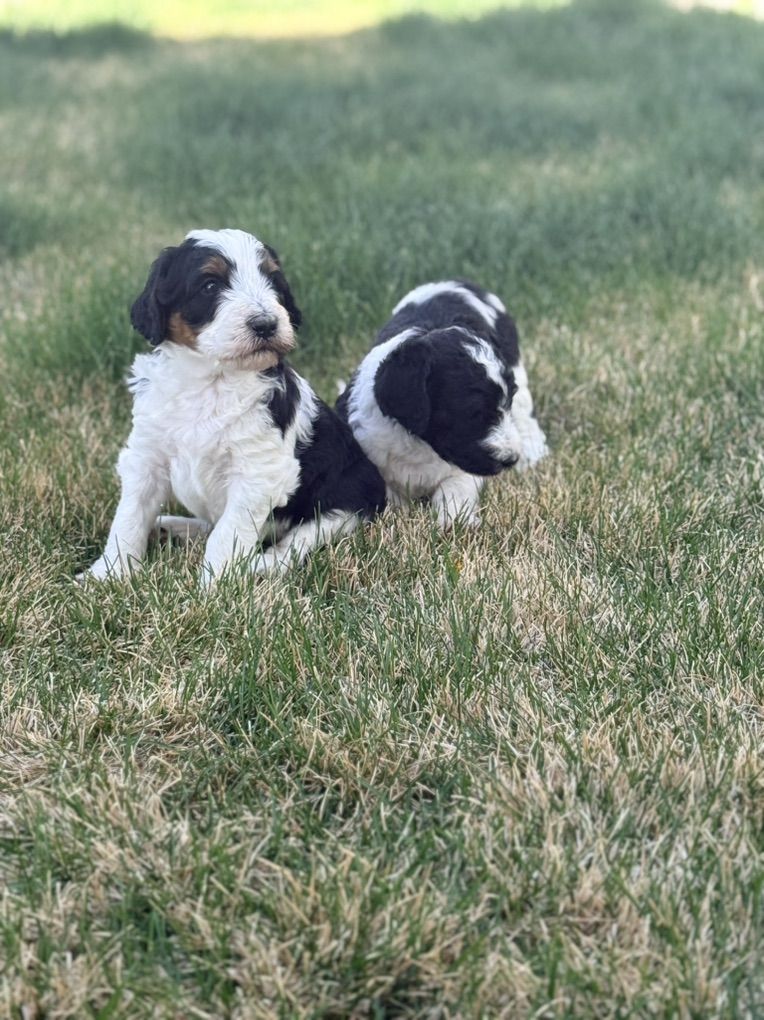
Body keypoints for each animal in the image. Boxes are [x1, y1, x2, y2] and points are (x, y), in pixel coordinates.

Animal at [78, 228, 386, 584]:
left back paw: (260, 565)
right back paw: (172, 528)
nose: (266, 324)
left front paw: (215, 586)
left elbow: (227, 533)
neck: (212, 380)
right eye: (210, 285)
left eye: (272, 282)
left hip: (346, 502)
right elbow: (129, 516)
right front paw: (108, 574)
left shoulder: (256, 474)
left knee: (297, 542)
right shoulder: (146, 457)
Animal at [336, 279, 547, 527]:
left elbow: (454, 488)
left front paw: (453, 521)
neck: (421, 444)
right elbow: (390, 496)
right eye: (472, 413)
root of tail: (457, 282)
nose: (510, 459)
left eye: (506, 402)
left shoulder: (463, 469)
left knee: (525, 415)